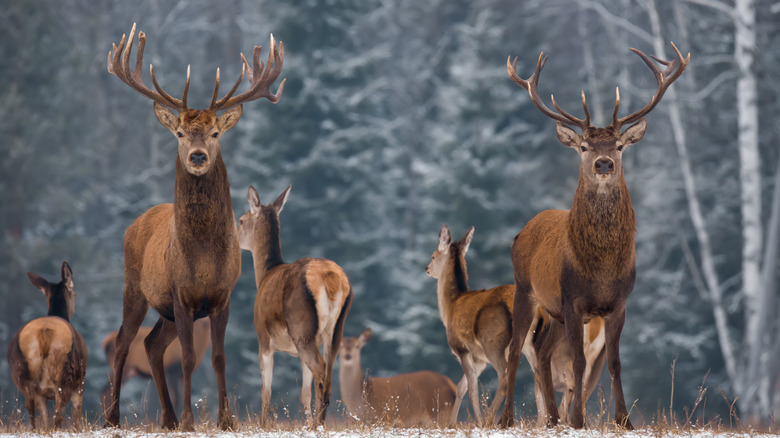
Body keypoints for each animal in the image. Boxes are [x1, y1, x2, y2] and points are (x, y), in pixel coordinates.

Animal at [7, 262, 88, 430]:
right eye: (74, 294)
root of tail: (43, 333)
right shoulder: (81, 382)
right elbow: (77, 415)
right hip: (65, 373)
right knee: (58, 414)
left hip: (21, 375)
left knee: (32, 409)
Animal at [103, 22, 284, 430]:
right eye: (180, 134)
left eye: (216, 133)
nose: (198, 156)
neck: (201, 258)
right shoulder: (181, 294)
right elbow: (186, 358)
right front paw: (189, 420)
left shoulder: (222, 296)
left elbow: (217, 357)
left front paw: (225, 420)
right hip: (134, 287)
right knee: (124, 342)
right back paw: (114, 418)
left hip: (165, 310)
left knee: (152, 344)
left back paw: (167, 418)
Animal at [235, 186, 350, 428]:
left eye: (240, 220)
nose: (233, 234)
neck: (264, 275)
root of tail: (331, 278)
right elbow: (304, 393)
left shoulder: (263, 339)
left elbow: (266, 390)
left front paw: (263, 424)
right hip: (335, 329)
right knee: (328, 372)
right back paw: (318, 422)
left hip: (302, 327)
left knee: (321, 368)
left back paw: (318, 423)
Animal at [500, 43, 688, 428]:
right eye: (584, 147)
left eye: (619, 145)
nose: (604, 164)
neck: (601, 268)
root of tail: (522, 231)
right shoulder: (572, 301)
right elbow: (578, 362)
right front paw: (578, 421)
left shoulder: (618, 303)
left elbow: (614, 363)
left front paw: (624, 420)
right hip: (527, 290)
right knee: (514, 350)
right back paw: (507, 419)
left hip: (552, 311)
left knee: (542, 352)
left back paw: (552, 419)